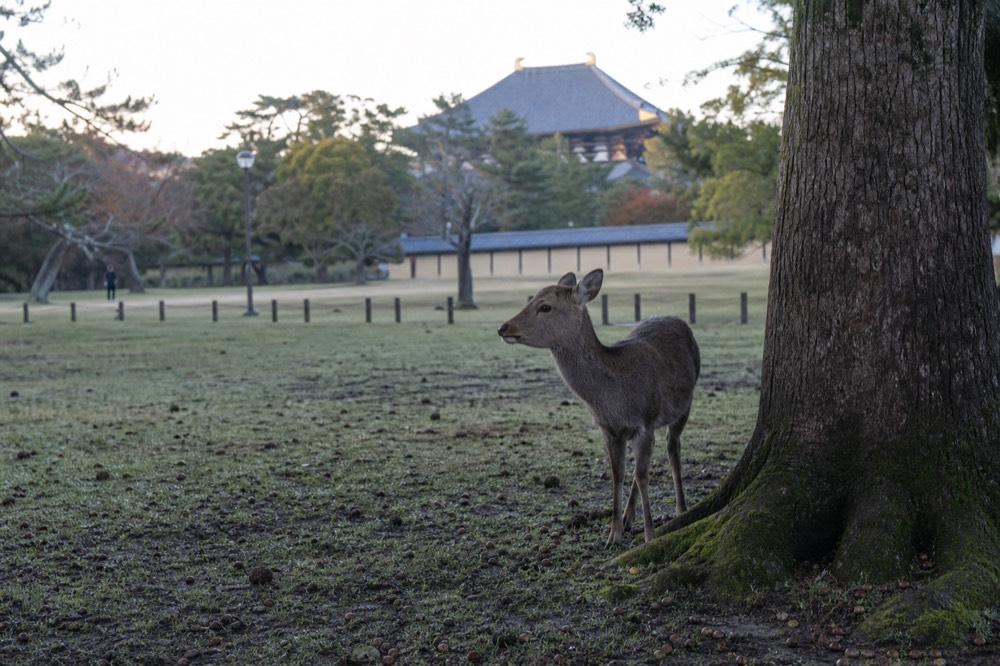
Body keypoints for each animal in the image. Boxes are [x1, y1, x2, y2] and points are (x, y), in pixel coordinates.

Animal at [497, 269, 700, 547]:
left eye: (545, 306)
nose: (502, 327)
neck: (613, 399)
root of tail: (678, 319)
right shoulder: (610, 429)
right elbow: (619, 474)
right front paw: (613, 535)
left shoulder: (644, 422)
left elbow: (643, 476)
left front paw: (650, 536)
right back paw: (628, 517)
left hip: (685, 403)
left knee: (672, 448)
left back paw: (681, 509)